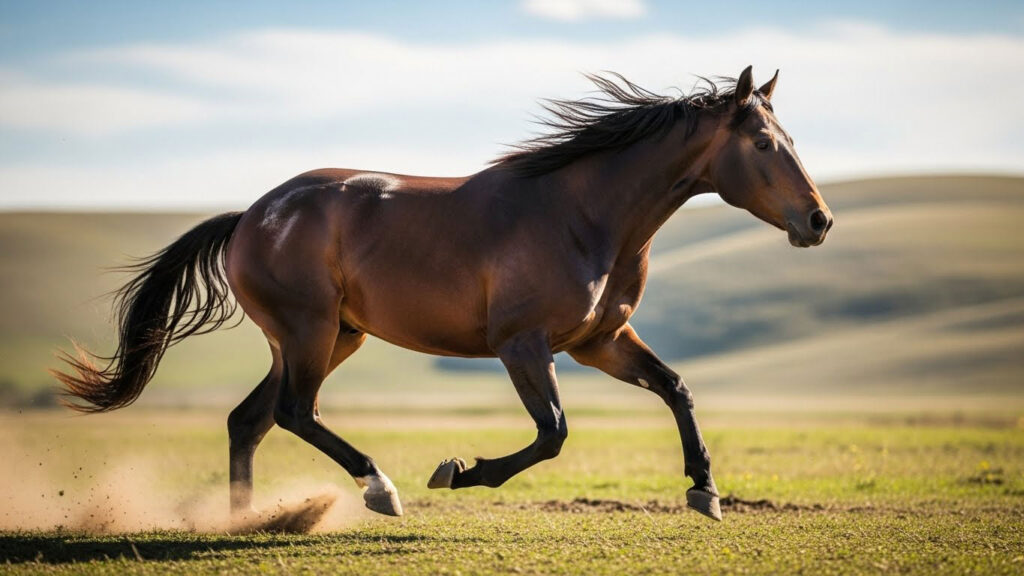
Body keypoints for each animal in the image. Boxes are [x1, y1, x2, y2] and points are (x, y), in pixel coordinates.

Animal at [55, 66, 832, 523]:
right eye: (764, 144)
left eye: (790, 137)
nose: (818, 220)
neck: (584, 214)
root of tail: (250, 215)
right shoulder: (523, 346)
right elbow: (553, 434)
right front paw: (459, 472)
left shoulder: (600, 342)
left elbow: (676, 389)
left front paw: (705, 490)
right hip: (309, 332)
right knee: (294, 413)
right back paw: (379, 488)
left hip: (328, 337)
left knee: (250, 420)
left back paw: (246, 520)